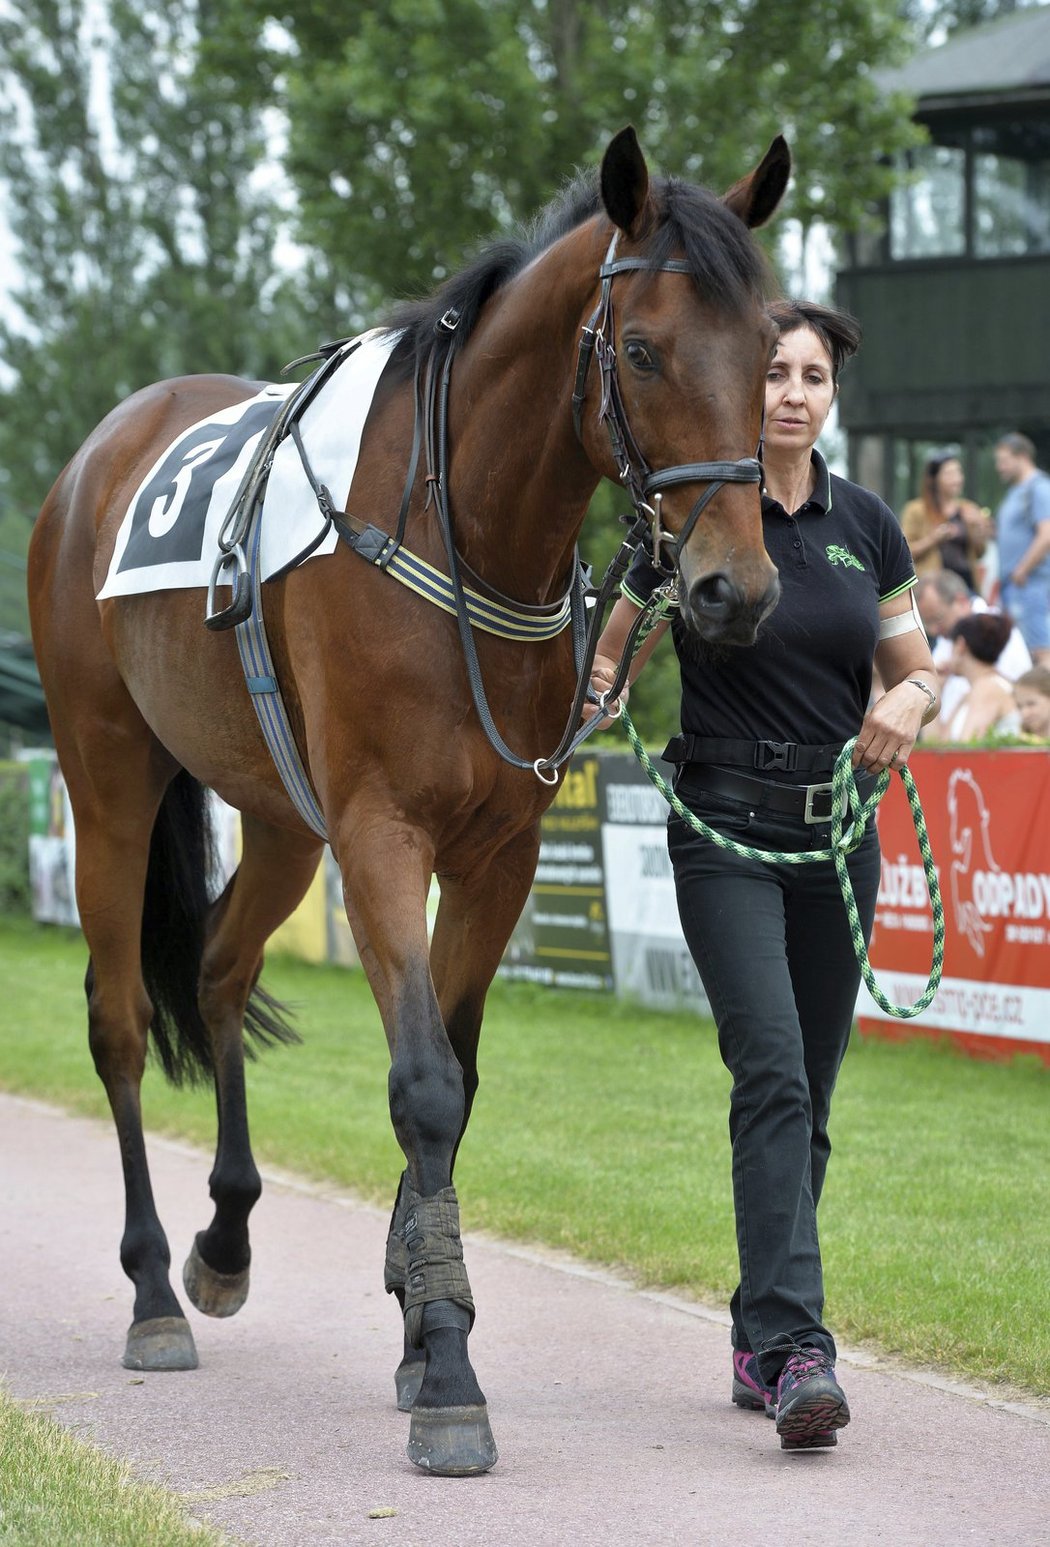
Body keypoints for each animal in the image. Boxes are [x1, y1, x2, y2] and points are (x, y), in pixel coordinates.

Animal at [26, 129, 788, 1472]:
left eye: (765, 350)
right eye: (643, 349)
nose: (731, 588)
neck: (464, 523)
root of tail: (98, 456)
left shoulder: (500, 848)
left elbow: (460, 1078)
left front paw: (417, 1315)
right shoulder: (383, 830)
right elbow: (424, 1081)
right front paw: (446, 1369)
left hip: (280, 812)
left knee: (219, 969)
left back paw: (225, 1239)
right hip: (108, 775)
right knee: (119, 1019)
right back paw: (156, 1288)